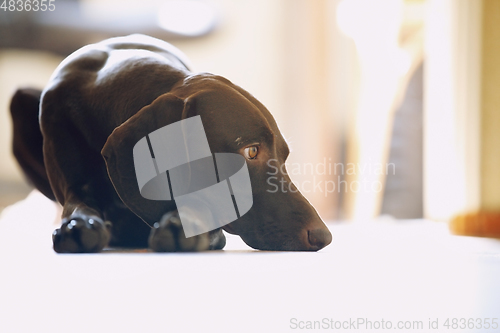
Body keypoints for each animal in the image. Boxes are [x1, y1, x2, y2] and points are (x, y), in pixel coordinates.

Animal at [8, 33, 332, 252]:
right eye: (251, 151)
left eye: (285, 157)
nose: (324, 236)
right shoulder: (75, 184)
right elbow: (77, 205)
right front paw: (79, 224)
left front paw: (185, 223)